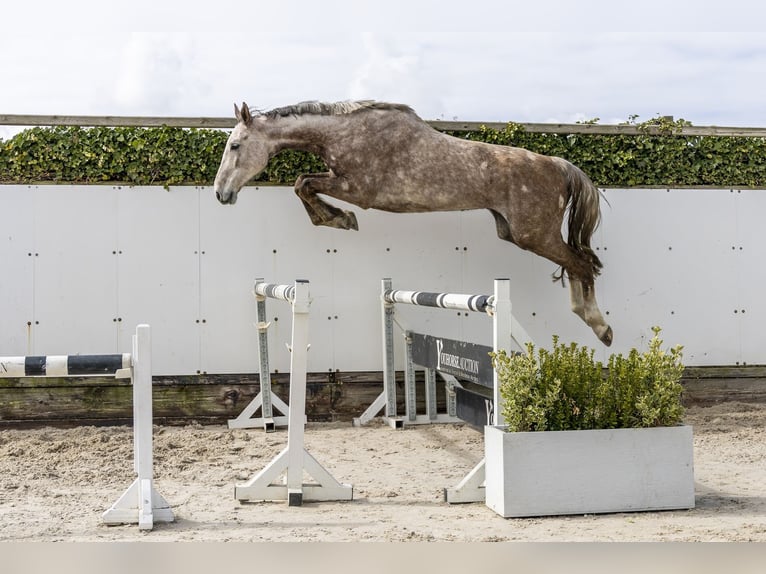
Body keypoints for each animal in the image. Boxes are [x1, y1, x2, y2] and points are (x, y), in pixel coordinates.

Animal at [214, 100, 612, 346]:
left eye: (235, 146)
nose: (221, 194)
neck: (344, 134)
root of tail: (560, 165)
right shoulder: (340, 180)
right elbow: (303, 183)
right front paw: (337, 218)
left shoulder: (358, 189)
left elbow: (303, 183)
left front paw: (340, 219)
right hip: (513, 232)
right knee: (577, 263)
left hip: (534, 234)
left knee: (581, 263)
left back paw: (600, 326)